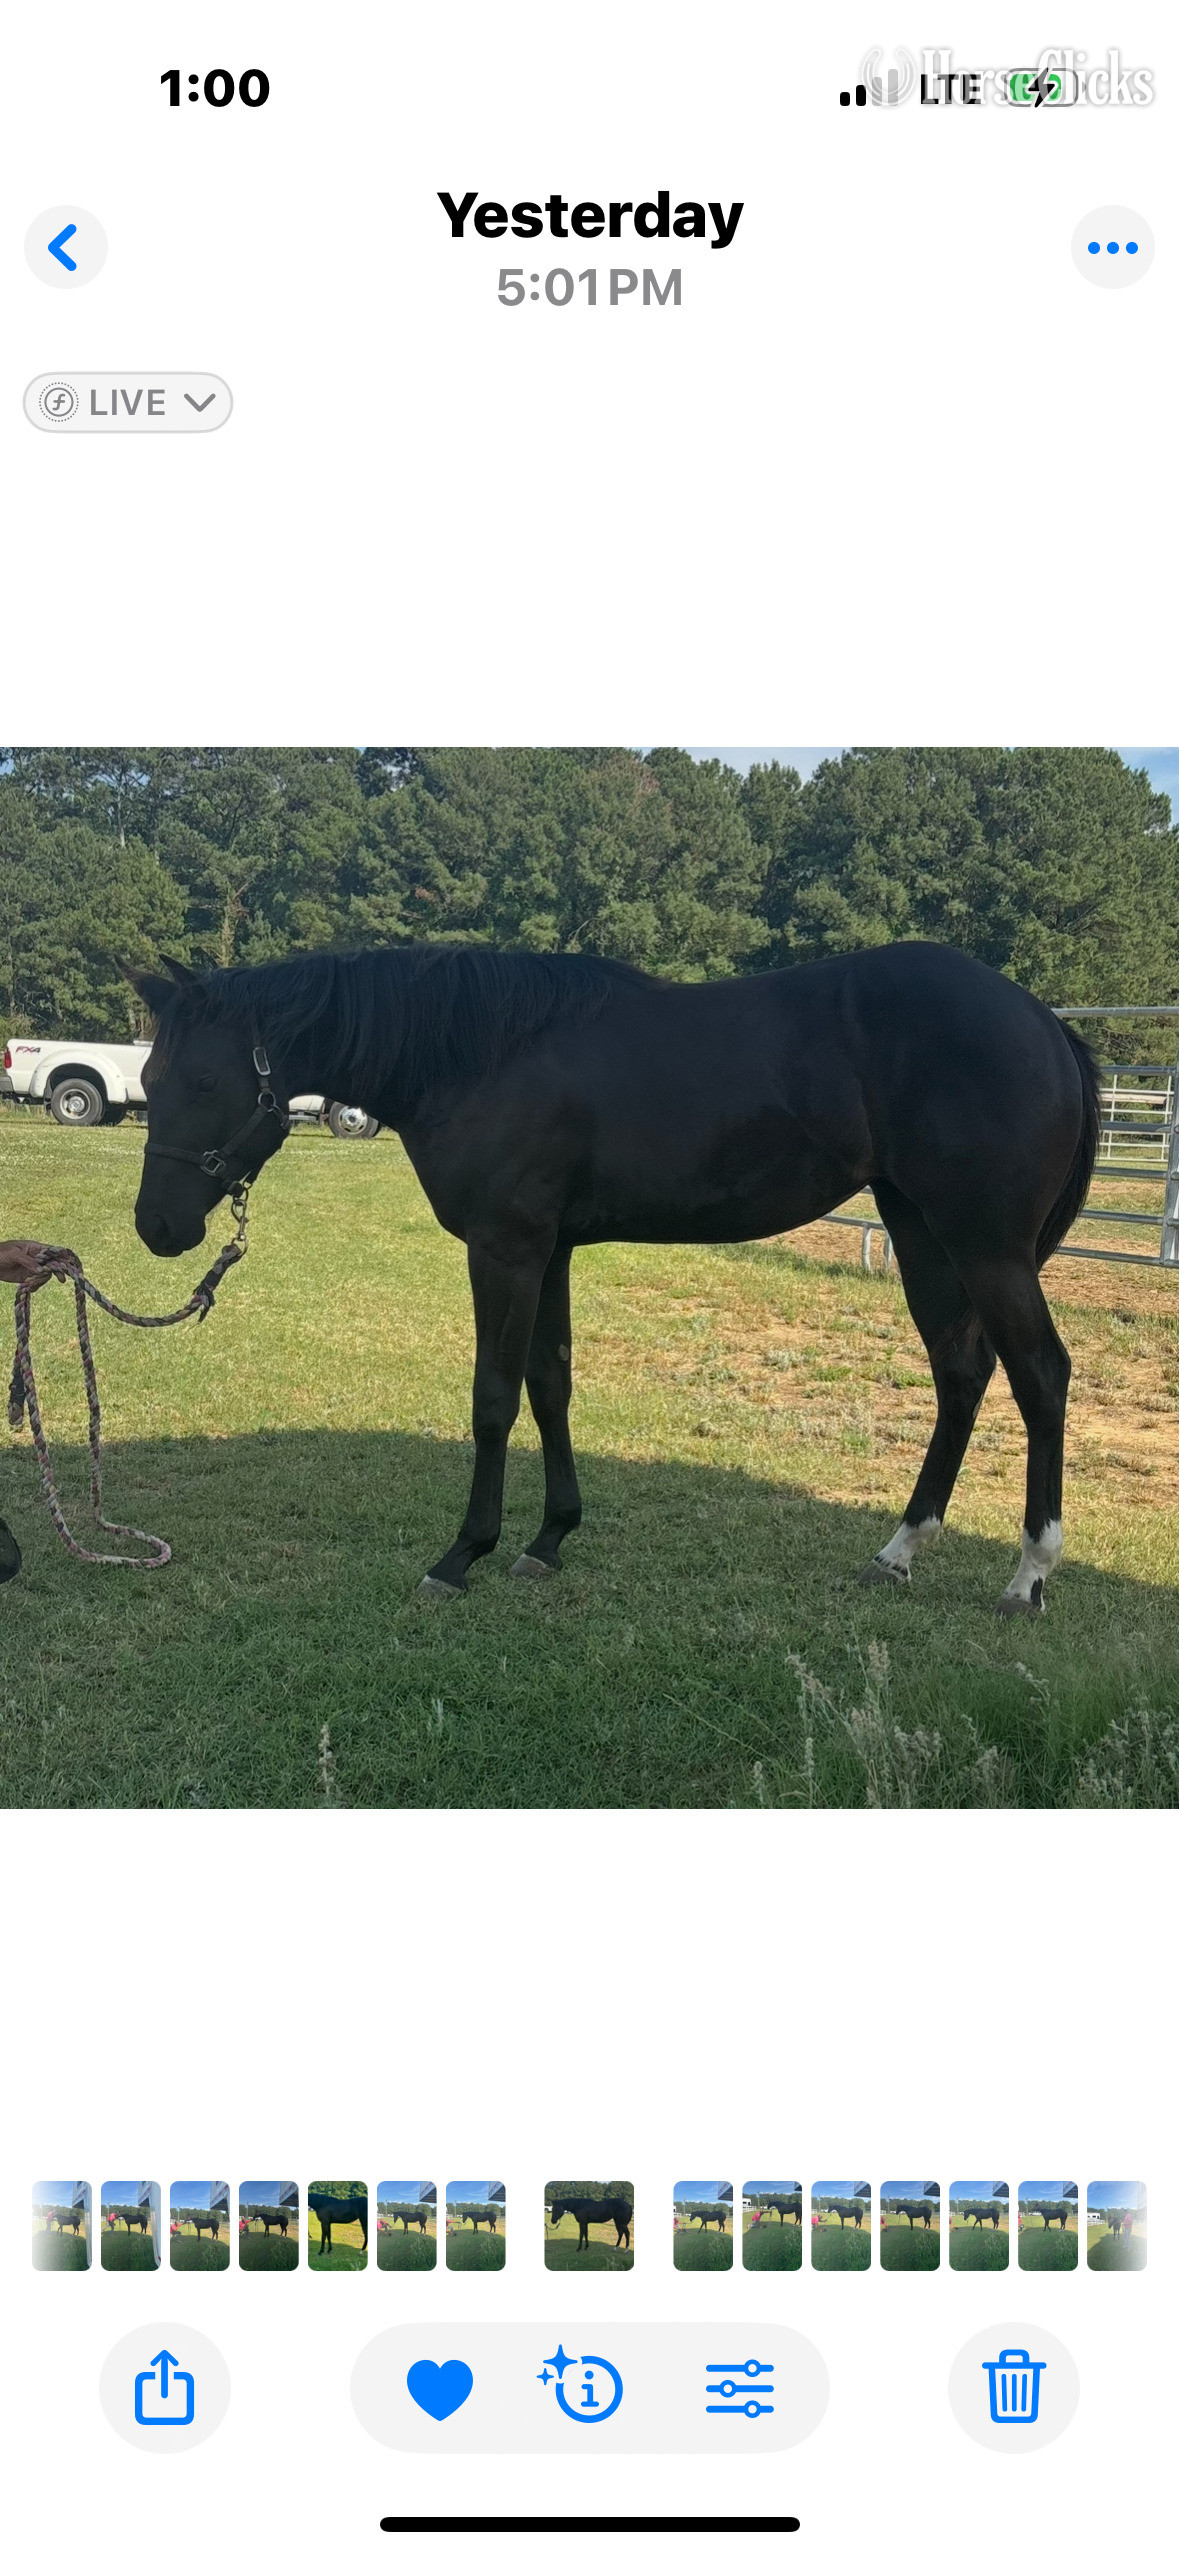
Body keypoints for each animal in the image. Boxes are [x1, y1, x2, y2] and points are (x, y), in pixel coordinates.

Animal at [129, 941, 1099, 1614]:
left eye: (205, 1079)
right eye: (149, 1073)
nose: (156, 1228)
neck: (478, 1053)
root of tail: (1043, 1020)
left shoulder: (506, 1248)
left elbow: (493, 1398)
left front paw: (462, 1554)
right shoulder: (549, 1250)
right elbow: (550, 1384)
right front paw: (549, 1538)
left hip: (986, 1247)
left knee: (1040, 1376)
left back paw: (1028, 1575)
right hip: (922, 1232)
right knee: (961, 1373)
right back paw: (898, 1552)